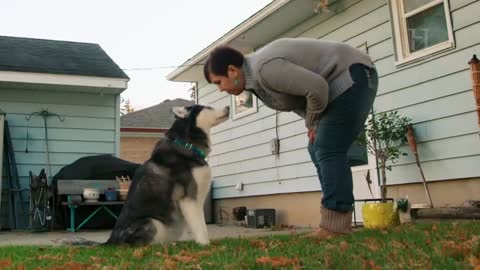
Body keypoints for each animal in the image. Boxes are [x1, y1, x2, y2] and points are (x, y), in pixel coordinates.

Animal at [106, 104, 230, 245]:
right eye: (208, 107)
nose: (228, 107)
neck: (187, 145)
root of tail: (109, 241)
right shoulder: (189, 199)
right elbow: (201, 229)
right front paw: (206, 246)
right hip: (151, 222)